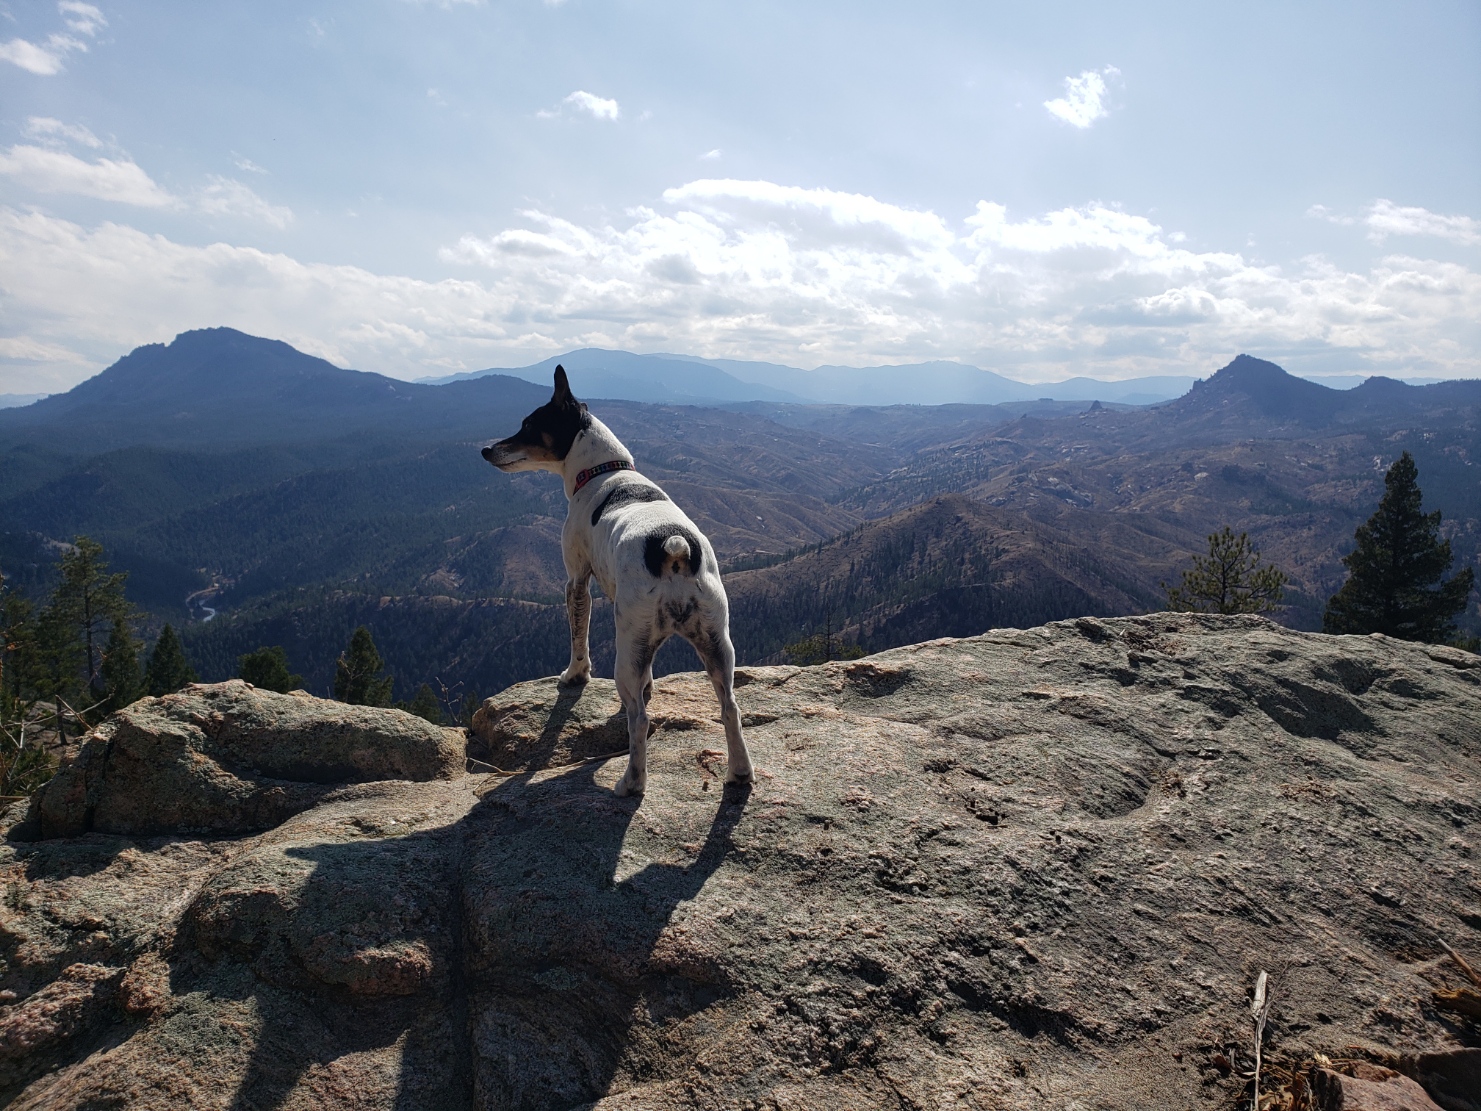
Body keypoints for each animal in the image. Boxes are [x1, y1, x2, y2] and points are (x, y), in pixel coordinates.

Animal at [482, 370, 752, 793]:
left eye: (528, 425)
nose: (485, 449)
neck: (605, 470)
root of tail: (673, 548)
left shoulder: (577, 581)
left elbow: (578, 638)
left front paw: (574, 676)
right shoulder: (650, 643)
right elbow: (651, 678)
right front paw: (650, 686)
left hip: (626, 649)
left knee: (638, 719)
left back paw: (631, 783)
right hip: (716, 642)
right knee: (729, 707)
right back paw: (739, 772)